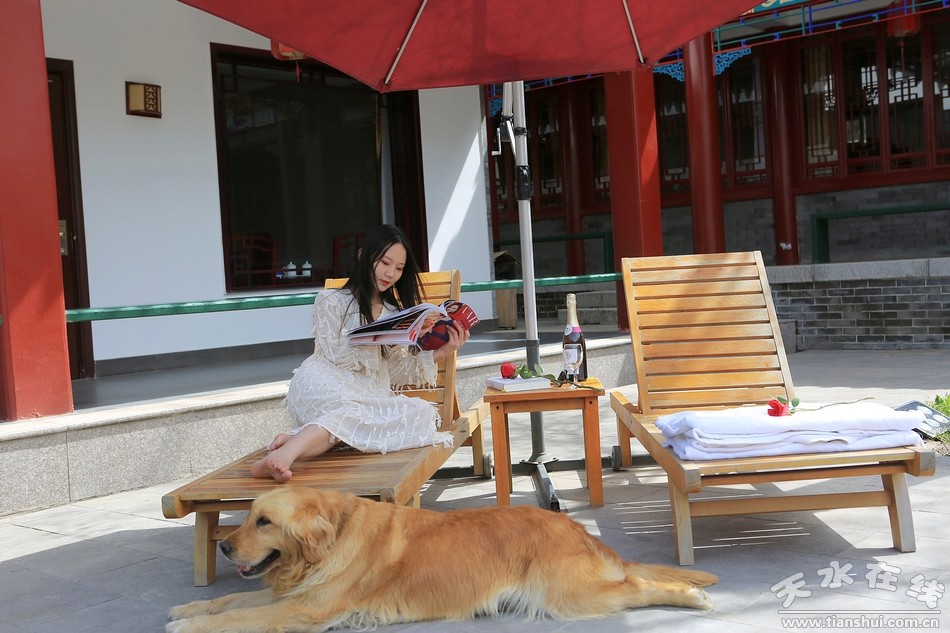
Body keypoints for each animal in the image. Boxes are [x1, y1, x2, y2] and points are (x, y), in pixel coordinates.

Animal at [167, 486, 717, 632]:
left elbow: (237, 616)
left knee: (640, 588)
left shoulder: (305, 608)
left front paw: (187, 625)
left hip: (566, 596)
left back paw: (693, 597)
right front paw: (187, 609)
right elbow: (230, 602)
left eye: (264, 522)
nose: (223, 546)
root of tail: (579, 530)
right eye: (247, 517)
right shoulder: (296, 596)